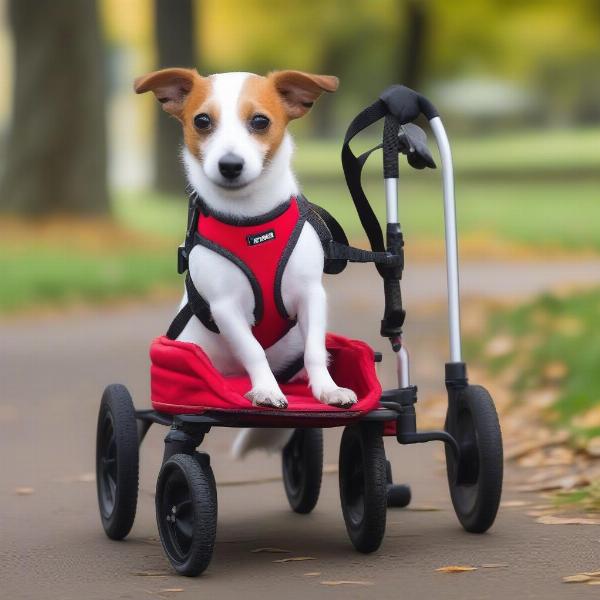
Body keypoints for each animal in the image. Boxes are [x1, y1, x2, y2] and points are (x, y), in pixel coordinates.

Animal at [136, 69, 356, 454]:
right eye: (202, 121)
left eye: (260, 121)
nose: (230, 165)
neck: (252, 221)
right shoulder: (225, 307)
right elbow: (253, 350)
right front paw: (267, 389)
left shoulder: (312, 295)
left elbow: (315, 349)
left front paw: (327, 389)